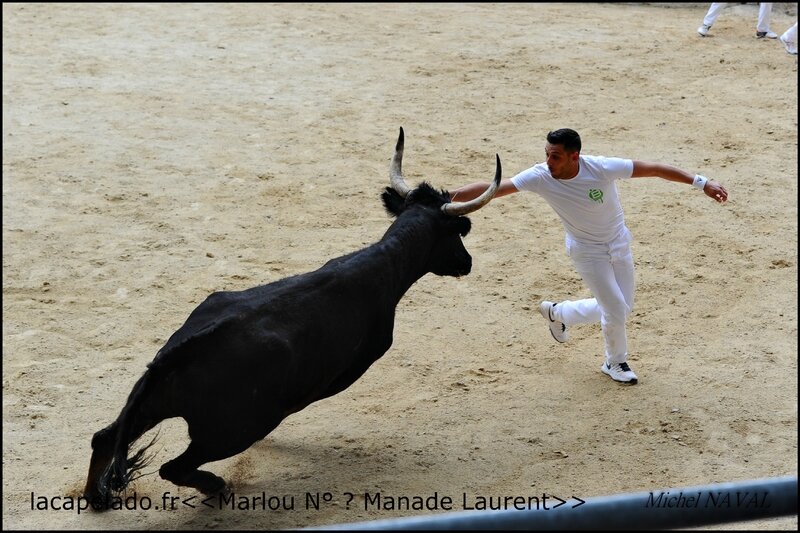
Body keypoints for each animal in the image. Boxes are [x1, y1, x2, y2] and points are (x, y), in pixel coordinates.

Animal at [83, 129, 500, 502]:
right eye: (456, 232)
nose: (467, 263)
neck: (383, 263)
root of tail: (182, 351)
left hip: (150, 402)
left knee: (105, 438)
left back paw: (96, 497)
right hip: (231, 430)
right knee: (173, 467)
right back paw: (216, 488)